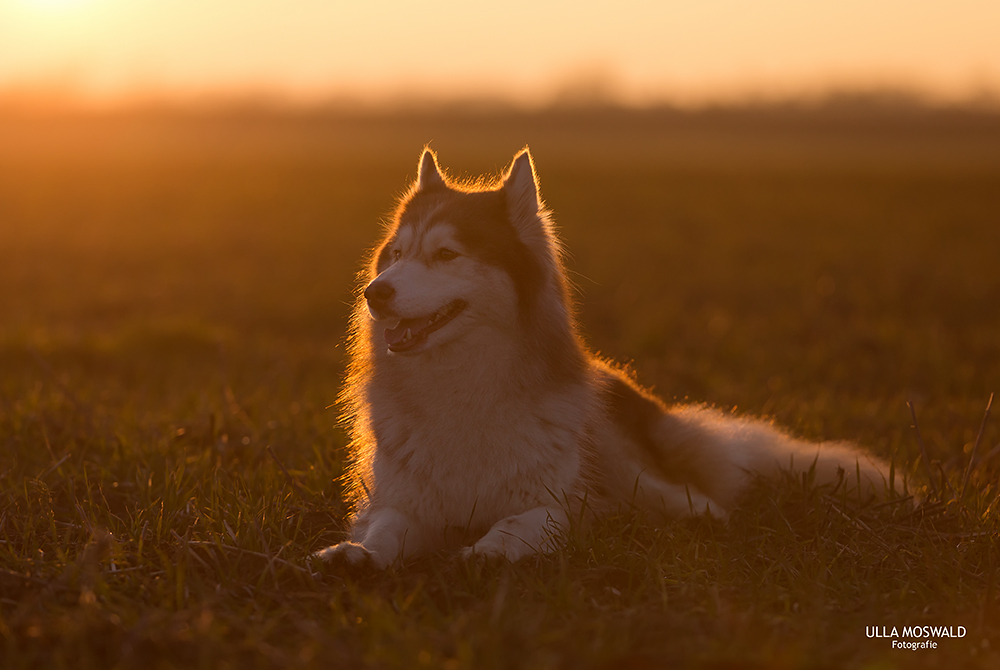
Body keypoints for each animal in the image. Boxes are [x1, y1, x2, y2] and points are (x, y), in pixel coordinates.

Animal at [314, 150, 892, 568]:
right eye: (396, 254)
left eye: (446, 254)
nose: (374, 293)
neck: (460, 393)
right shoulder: (403, 500)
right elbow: (389, 527)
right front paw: (357, 554)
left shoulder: (567, 500)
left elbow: (524, 520)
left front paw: (489, 550)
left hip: (636, 469)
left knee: (701, 502)